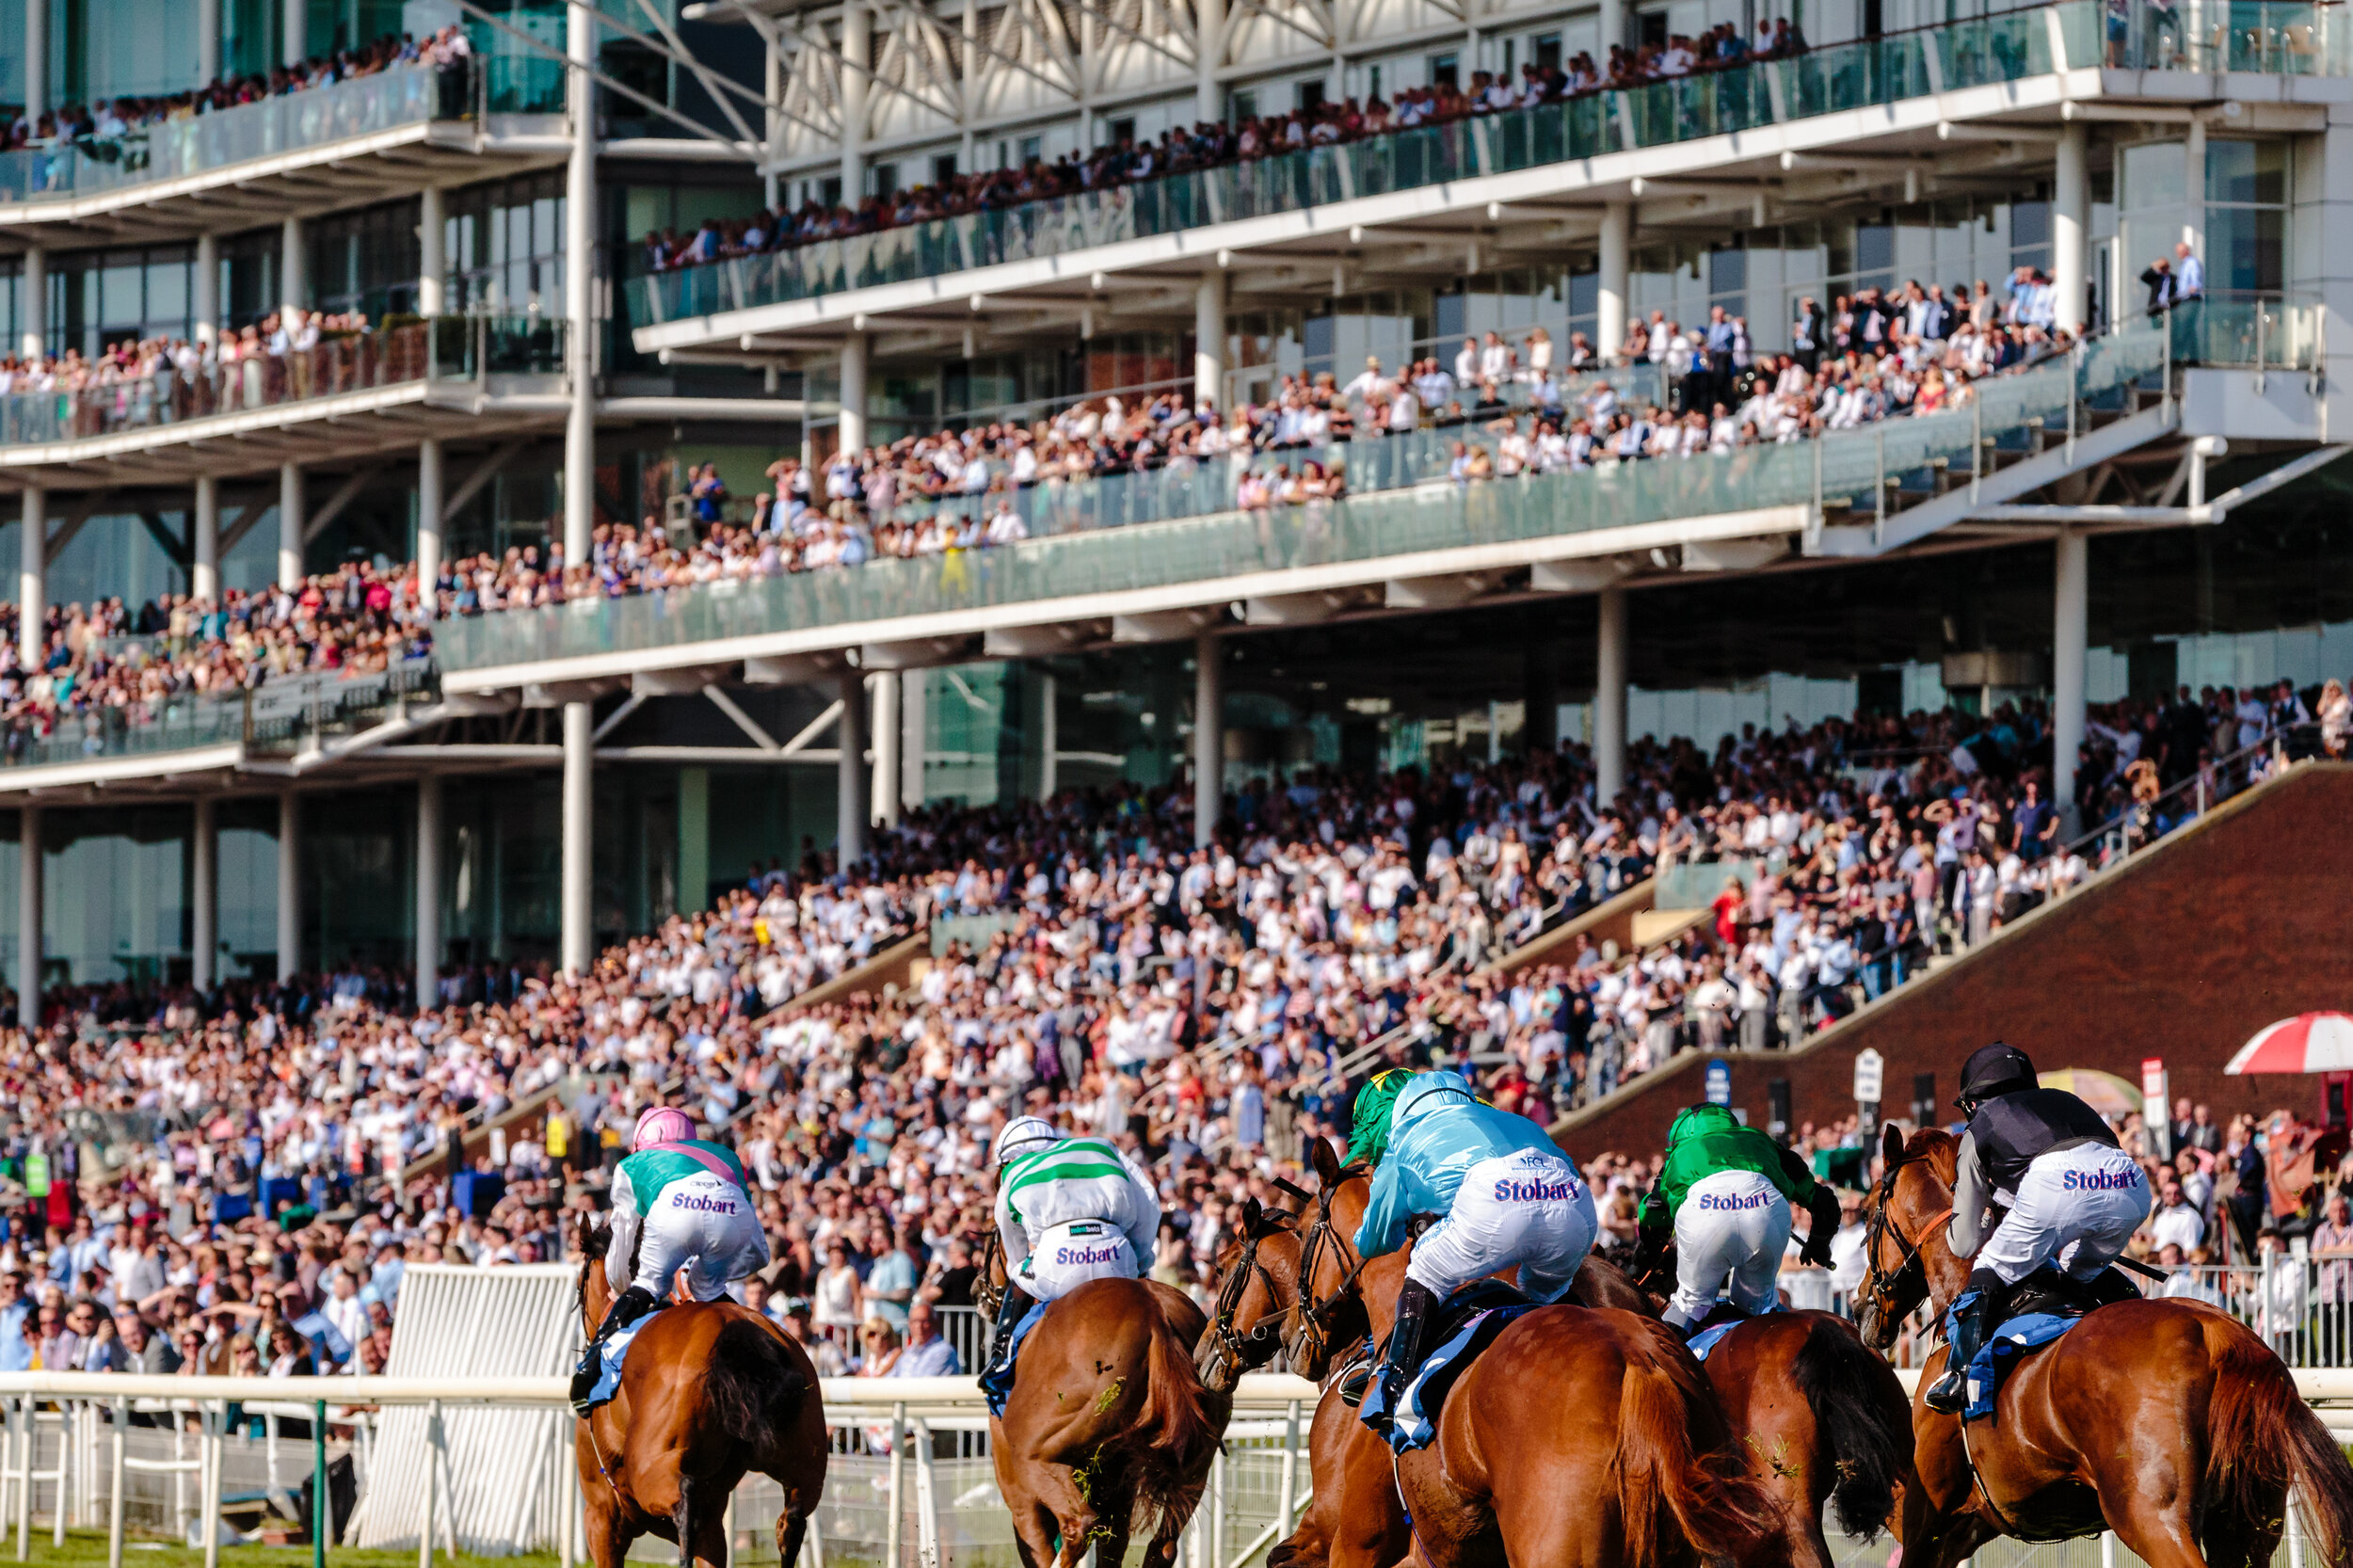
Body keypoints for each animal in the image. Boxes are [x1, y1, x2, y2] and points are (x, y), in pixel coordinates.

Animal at [571, 1224, 824, 1562]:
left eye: (579, 1284)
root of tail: (736, 1330)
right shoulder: (713, 1522)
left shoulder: (600, 1517)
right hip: (805, 1459)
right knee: (792, 1520)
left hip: (651, 1467)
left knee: (684, 1503)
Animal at [974, 1233, 1233, 1562]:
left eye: (991, 1241)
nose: (978, 1289)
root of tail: (1154, 1316)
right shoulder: (1116, 1484)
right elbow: (1114, 1542)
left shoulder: (1020, 1495)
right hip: (1194, 1466)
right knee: (1163, 1545)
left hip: (1035, 1456)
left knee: (1079, 1524)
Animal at [1854, 1125, 2353, 1562]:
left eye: (1867, 1210)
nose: (1860, 1306)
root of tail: (2218, 1335)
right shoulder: (1971, 1524)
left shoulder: (1927, 1518)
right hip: (2247, 1525)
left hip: (2149, 1515)